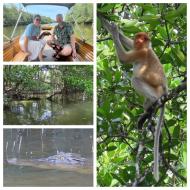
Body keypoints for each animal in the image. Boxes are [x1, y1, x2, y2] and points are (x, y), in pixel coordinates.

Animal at [101, 17, 168, 181]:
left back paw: (151, 103)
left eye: (141, 38)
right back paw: (145, 114)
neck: (146, 47)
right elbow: (126, 41)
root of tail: (165, 88)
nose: (137, 40)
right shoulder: (137, 48)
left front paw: (113, 31)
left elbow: (124, 58)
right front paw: (107, 22)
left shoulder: (141, 53)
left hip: (155, 90)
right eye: (137, 37)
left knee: (135, 79)